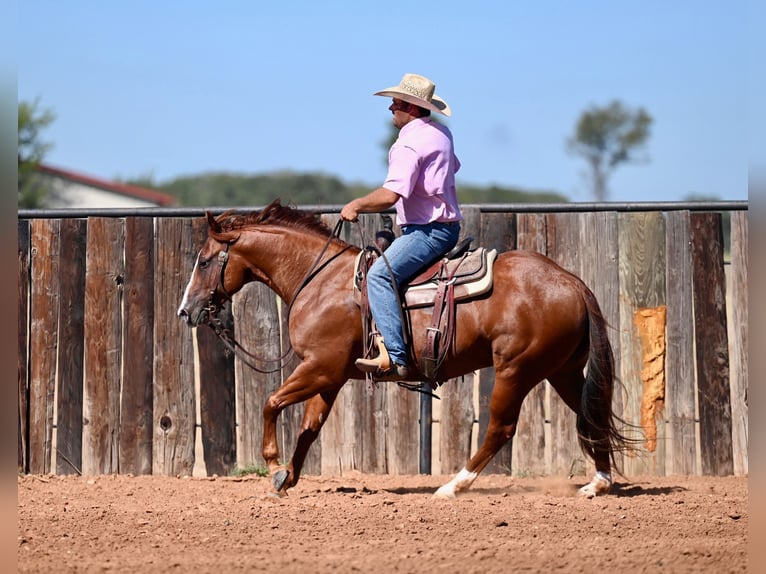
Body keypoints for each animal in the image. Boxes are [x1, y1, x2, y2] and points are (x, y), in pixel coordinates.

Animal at [178, 201, 632, 500]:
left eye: (204, 261)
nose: (186, 310)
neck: (320, 279)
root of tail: (571, 282)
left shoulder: (320, 368)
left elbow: (271, 403)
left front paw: (274, 467)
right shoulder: (330, 377)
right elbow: (310, 428)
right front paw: (287, 478)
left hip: (515, 370)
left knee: (501, 428)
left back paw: (452, 486)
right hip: (562, 370)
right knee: (589, 414)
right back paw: (598, 483)